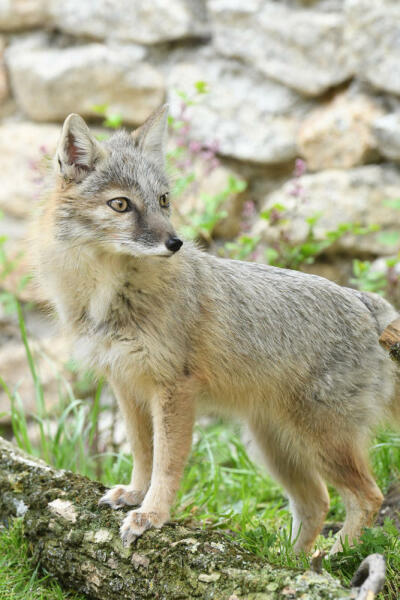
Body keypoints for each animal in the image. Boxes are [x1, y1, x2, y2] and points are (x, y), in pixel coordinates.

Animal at [33, 104, 400, 552]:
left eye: (163, 201)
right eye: (121, 204)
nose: (175, 243)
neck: (110, 295)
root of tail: (370, 304)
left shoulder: (173, 389)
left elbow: (167, 461)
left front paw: (152, 515)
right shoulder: (127, 385)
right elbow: (142, 452)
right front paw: (135, 494)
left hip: (320, 442)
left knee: (368, 496)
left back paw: (331, 557)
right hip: (275, 448)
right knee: (317, 503)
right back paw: (292, 562)